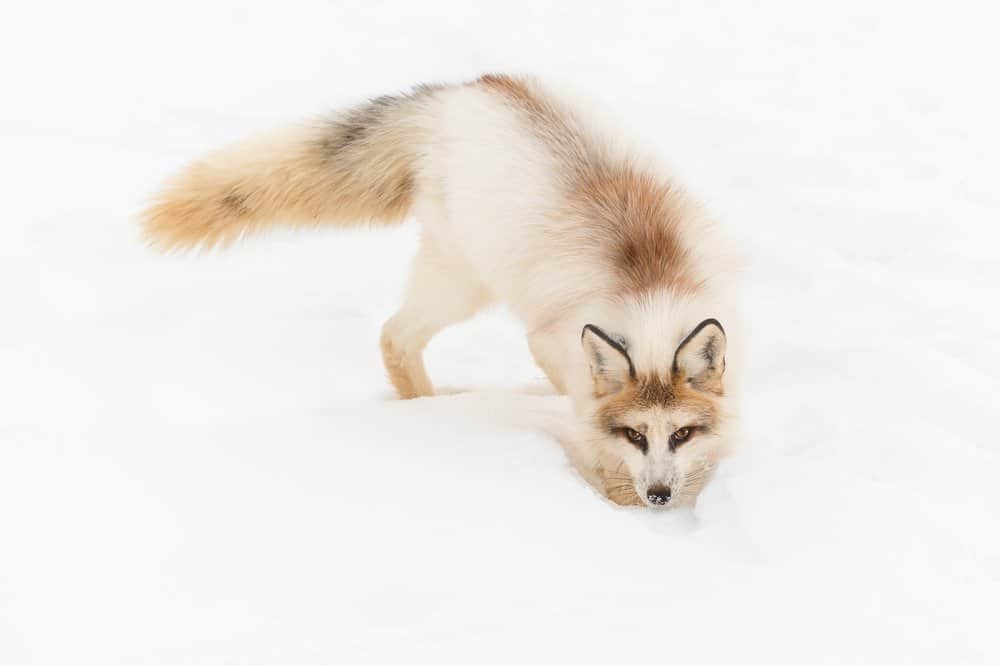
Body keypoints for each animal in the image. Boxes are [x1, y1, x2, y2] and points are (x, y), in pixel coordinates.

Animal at [145, 74, 748, 508]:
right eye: (635, 435)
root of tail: (461, 92)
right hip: (462, 285)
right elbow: (591, 431)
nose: (660, 495)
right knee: (395, 334)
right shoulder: (561, 346)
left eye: (681, 433)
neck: (650, 288)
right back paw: (429, 411)